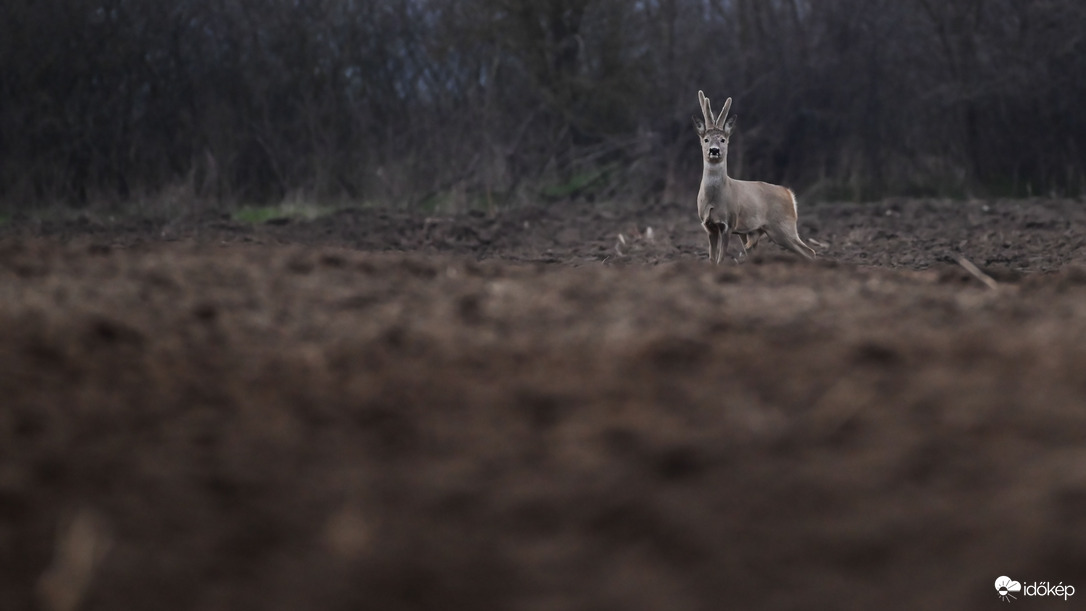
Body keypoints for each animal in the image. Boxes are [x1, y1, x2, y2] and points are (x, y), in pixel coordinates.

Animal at [690, 90, 812, 262]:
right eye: (706, 139)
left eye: (723, 139)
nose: (714, 150)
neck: (714, 199)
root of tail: (789, 194)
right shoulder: (709, 226)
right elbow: (712, 260)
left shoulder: (729, 223)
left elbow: (721, 259)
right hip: (756, 231)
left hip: (783, 227)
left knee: (809, 251)